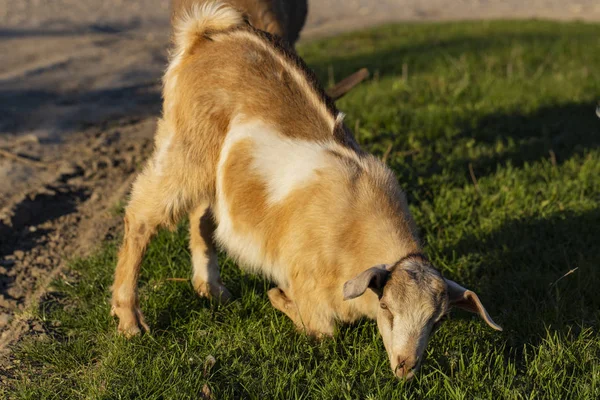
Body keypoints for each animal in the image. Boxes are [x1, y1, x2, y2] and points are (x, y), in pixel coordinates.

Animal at [111, 2, 502, 378]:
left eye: (438, 321)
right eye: (387, 308)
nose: (406, 367)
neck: (354, 227)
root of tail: (207, 34)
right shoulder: (307, 281)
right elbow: (323, 331)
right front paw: (278, 298)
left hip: (212, 167)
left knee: (202, 215)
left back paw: (212, 289)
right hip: (184, 146)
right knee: (141, 215)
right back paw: (129, 320)